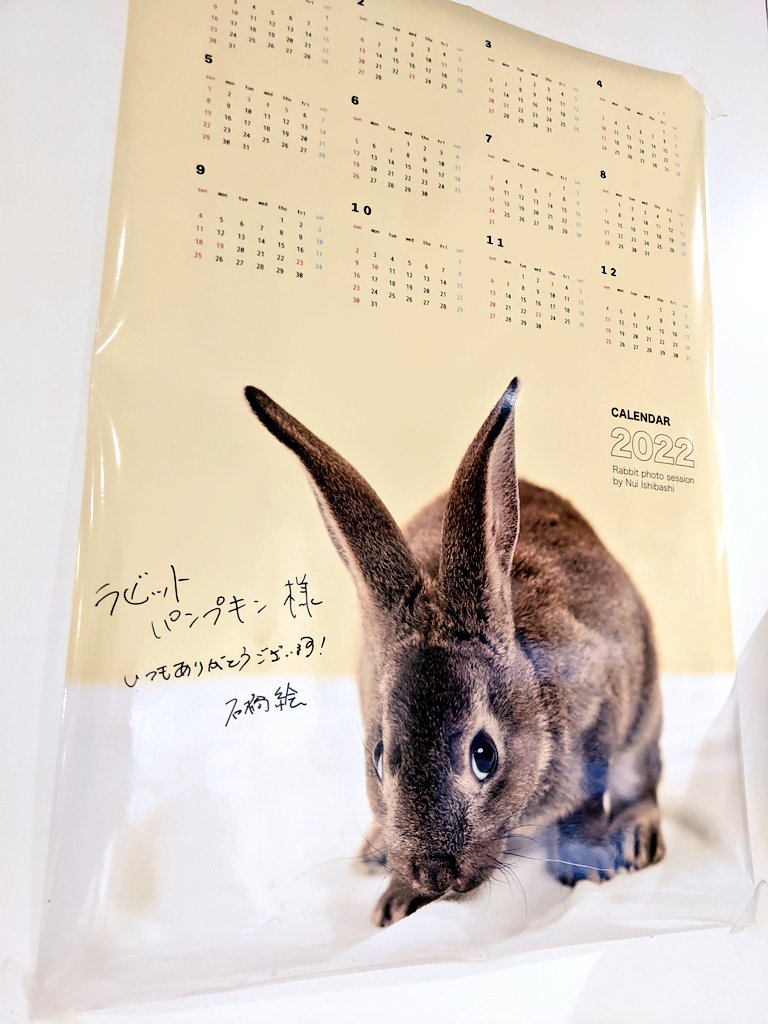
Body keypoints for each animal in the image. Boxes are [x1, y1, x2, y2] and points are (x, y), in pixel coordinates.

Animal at [243, 379, 664, 927]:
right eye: (380, 758)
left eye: (484, 755)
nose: (434, 872)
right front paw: (395, 902)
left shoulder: (602, 708)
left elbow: (586, 806)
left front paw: (583, 866)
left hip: (645, 716)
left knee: (642, 784)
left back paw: (637, 839)